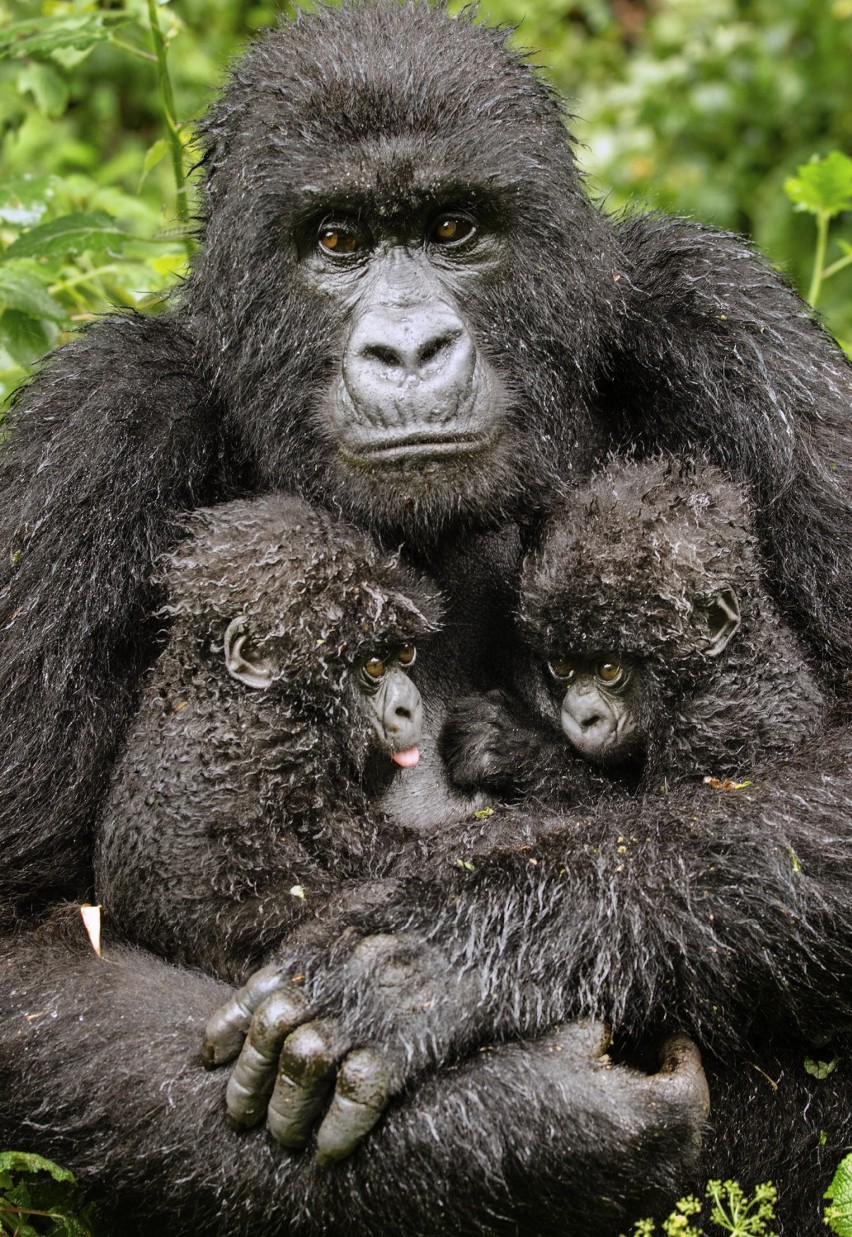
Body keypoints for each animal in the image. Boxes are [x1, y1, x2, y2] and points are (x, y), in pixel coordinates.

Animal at [96, 497, 442, 979]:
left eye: (405, 652)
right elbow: (389, 855)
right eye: (373, 664)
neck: (223, 687)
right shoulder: (293, 749)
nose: (409, 704)